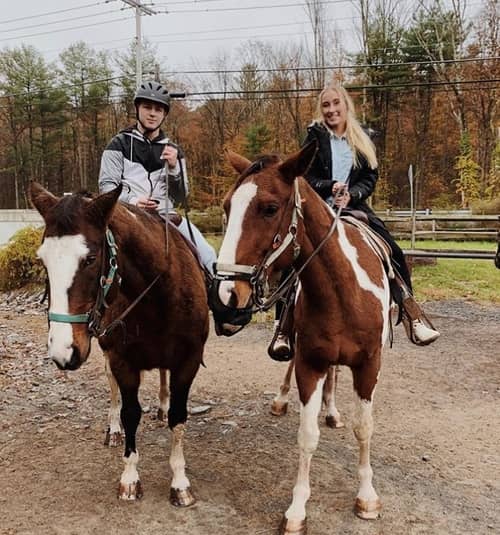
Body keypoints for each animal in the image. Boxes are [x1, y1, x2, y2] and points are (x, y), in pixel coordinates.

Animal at [29, 182, 209, 504]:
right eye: (42, 260)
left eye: (89, 259)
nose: (63, 352)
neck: (159, 297)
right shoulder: (122, 362)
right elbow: (130, 413)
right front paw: (130, 477)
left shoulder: (188, 361)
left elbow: (178, 418)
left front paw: (179, 482)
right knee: (113, 390)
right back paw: (113, 430)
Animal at [209, 144, 392, 532]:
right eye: (228, 206)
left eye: (269, 208)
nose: (225, 299)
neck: (343, 291)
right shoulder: (311, 363)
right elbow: (307, 437)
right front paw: (297, 509)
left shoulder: (369, 364)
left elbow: (364, 428)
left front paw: (367, 496)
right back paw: (283, 400)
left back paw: (332, 410)